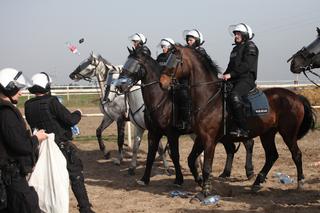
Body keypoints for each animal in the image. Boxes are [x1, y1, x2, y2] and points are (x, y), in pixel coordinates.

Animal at [119, 49, 256, 187]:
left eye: (133, 65)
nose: (120, 86)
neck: (161, 99)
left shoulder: (172, 134)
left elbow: (175, 155)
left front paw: (179, 179)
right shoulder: (153, 133)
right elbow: (150, 155)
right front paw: (144, 179)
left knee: (248, 143)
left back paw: (249, 172)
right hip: (223, 135)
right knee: (231, 148)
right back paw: (225, 173)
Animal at [160, 45, 316, 196]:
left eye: (175, 60)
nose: (162, 83)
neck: (209, 98)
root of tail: (296, 97)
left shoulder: (210, 139)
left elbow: (207, 166)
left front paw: (206, 190)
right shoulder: (201, 137)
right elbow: (191, 160)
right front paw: (199, 182)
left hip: (288, 134)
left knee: (296, 155)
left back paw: (300, 183)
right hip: (267, 133)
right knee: (272, 156)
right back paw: (257, 183)